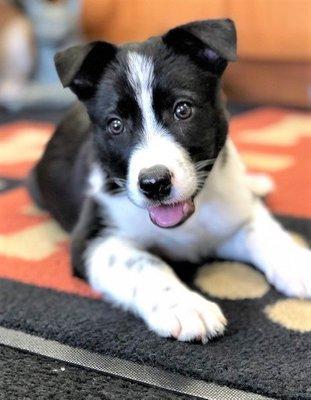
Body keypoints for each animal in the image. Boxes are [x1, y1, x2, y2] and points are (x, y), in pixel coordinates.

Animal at [27, 18, 311, 342]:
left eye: (182, 109)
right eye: (115, 125)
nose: (154, 184)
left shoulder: (234, 216)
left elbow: (264, 232)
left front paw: (299, 262)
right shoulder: (94, 241)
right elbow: (145, 264)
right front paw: (184, 305)